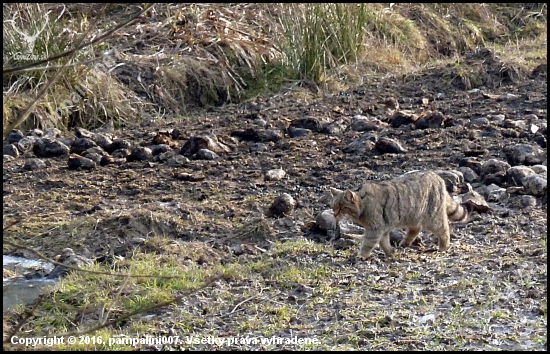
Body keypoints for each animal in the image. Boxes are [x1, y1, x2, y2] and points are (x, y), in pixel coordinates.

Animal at [330, 170, 472, 258]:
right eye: (333, 207)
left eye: (342, 208)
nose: (335, 215)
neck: (364, 205)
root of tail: (438, 177)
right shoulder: (382, 228)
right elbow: (384, 243)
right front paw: (390, 253)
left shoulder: (375, 229)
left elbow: (368, 244)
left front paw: (362, 256)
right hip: (413, 215)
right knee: (416, 228)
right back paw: (405, 243)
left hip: (432, 217)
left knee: (444, 230)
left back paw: (443, 246)